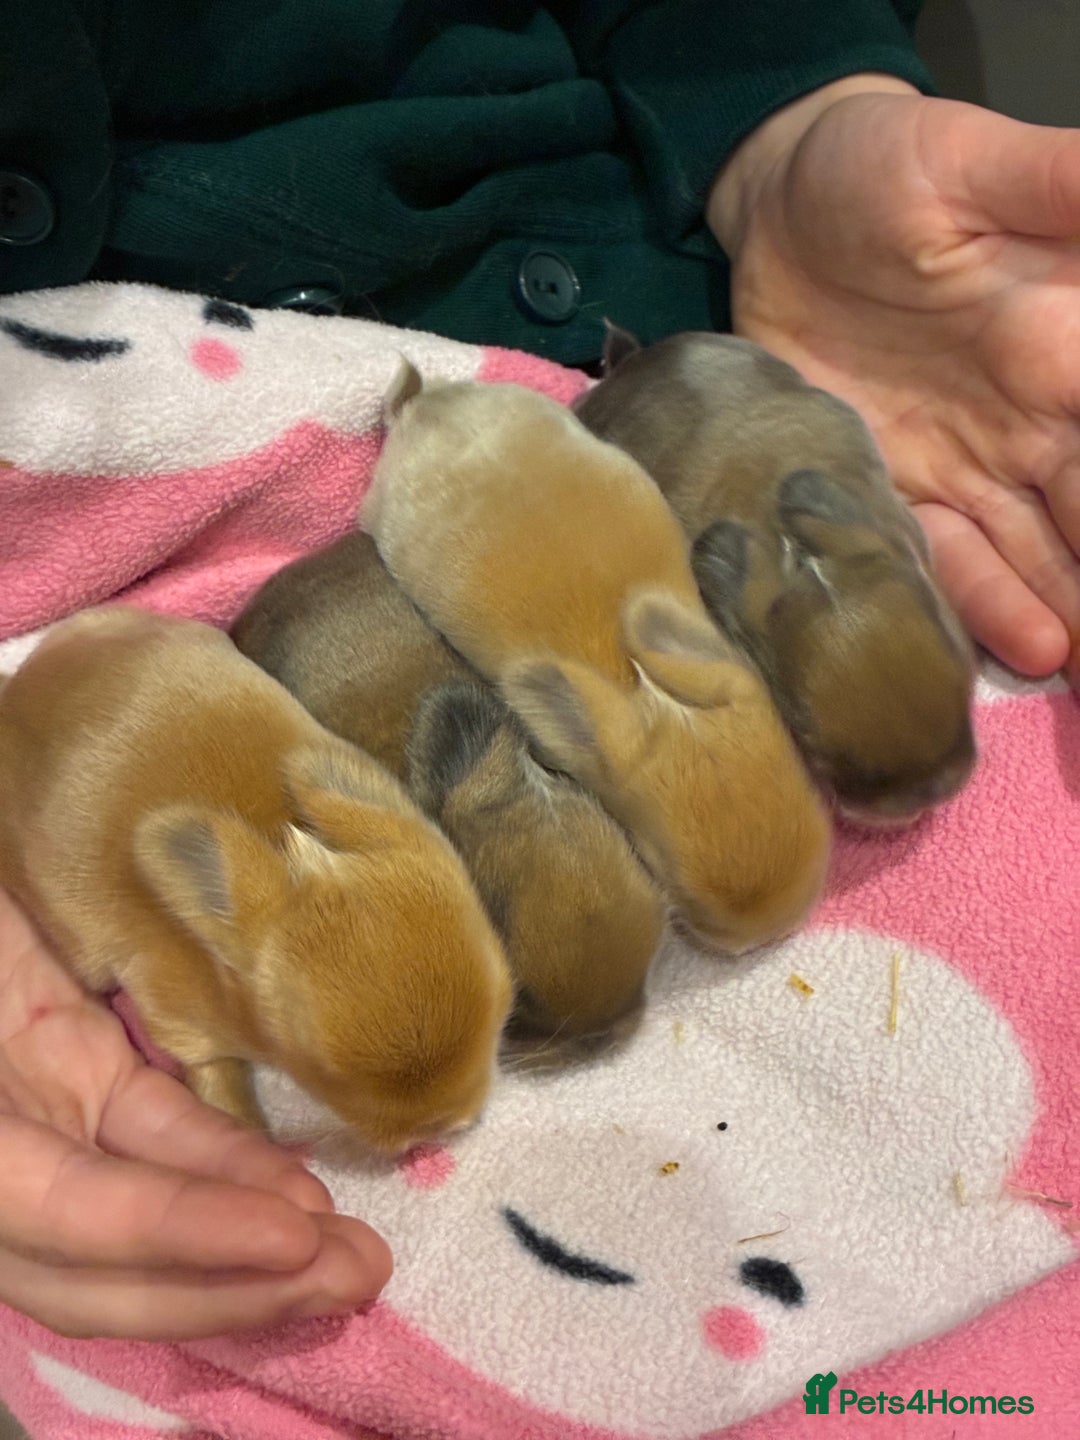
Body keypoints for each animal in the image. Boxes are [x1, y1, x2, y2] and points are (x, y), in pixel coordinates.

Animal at [0, 606, 512, 1153]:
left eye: (504, 1002)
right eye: (318, 1069)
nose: (450, 1124)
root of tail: (18, 692)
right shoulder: (179, 1019)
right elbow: (215, 1072)